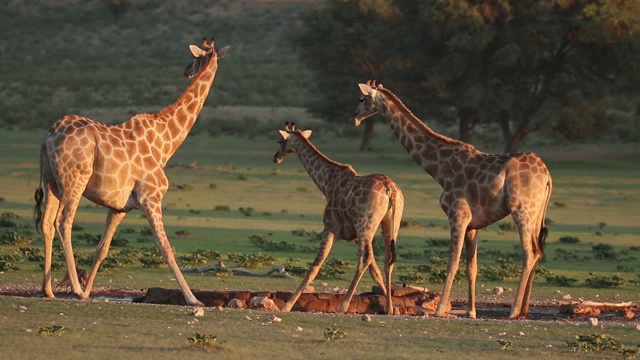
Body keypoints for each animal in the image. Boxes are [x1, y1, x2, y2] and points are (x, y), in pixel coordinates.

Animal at [33, 37, 230, 306]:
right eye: (194, 57)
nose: (186, 70)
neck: (166, 143)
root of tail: (47, 137)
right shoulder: (151, 198)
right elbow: (167, 249)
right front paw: (193, 299)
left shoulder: (120, 207)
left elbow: (102, 249)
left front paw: (88, 292)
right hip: (75, 181)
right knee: (63, 222)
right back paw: (73, 287)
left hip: (51, 182)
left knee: (46, 223)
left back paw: (48, 289)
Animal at [272, 122, 402, 314]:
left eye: (280, 141)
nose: (276, 157)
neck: (326, 183)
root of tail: (389, 189)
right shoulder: (354, 235)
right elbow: (375, 271)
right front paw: (392, 308)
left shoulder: (330, 228)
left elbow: (314, 267)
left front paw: (286, 306)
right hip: (390, 224)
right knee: (387, 260)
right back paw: (387, 306)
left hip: (366, 224)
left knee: (364, 260)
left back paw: (343, 305)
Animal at [350, 81, 552, 318]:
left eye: (362, 99)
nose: (354, 117)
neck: (440, 170)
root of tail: (546, 175)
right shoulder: (473, 225)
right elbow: (471, 267)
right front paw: (471, 311)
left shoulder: (458, 216)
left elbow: (452, 263)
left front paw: (439, 309)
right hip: (536, 212)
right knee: (538, 251)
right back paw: (524, 310)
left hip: (522, 209)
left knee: (529, 252)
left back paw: (514, 310)